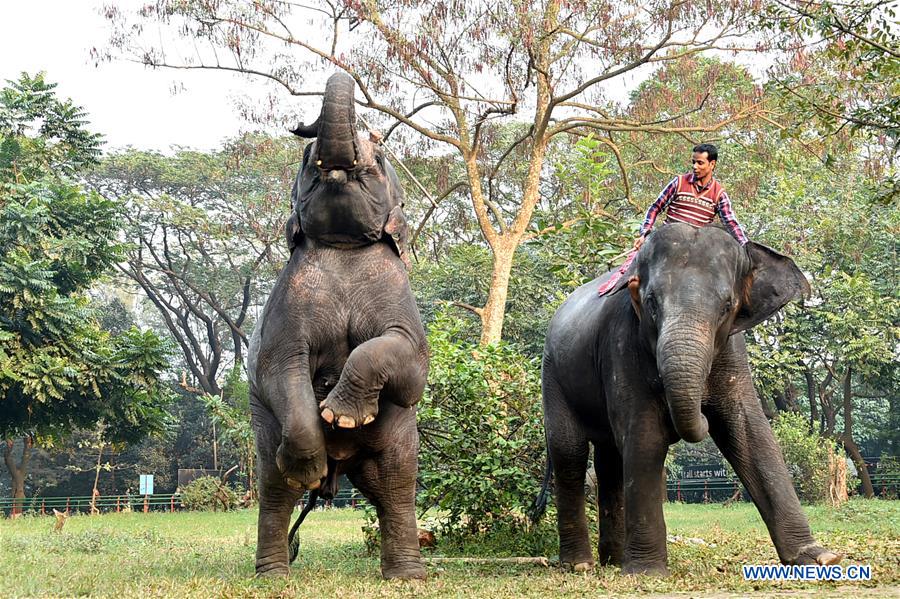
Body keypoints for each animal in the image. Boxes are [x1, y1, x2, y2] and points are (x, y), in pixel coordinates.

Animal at [246, 71, 428, 580]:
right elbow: (279, 367)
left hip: (398, 438)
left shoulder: (400, 295)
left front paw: (341, 414)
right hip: (263, 425)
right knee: (274, 490)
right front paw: (305, 465)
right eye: (307, 160)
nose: (301, 129)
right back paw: (274, 573)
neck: (345, 245)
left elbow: (412, 367)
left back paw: (407, 576)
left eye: (380, 156)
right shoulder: (284, 311)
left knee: (396, 487)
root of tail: (340, 471)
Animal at [536, 224, 840, 576]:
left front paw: (819, 557)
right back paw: (580, 564)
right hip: (553, 374)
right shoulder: (621, 343)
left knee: (609, 458)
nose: (703, 415)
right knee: (569, 452)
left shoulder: (732, 352)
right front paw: (646, 572)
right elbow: (645, 435)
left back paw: (612, 560)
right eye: (651, 302)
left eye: (726, 305)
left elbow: (749, 431)